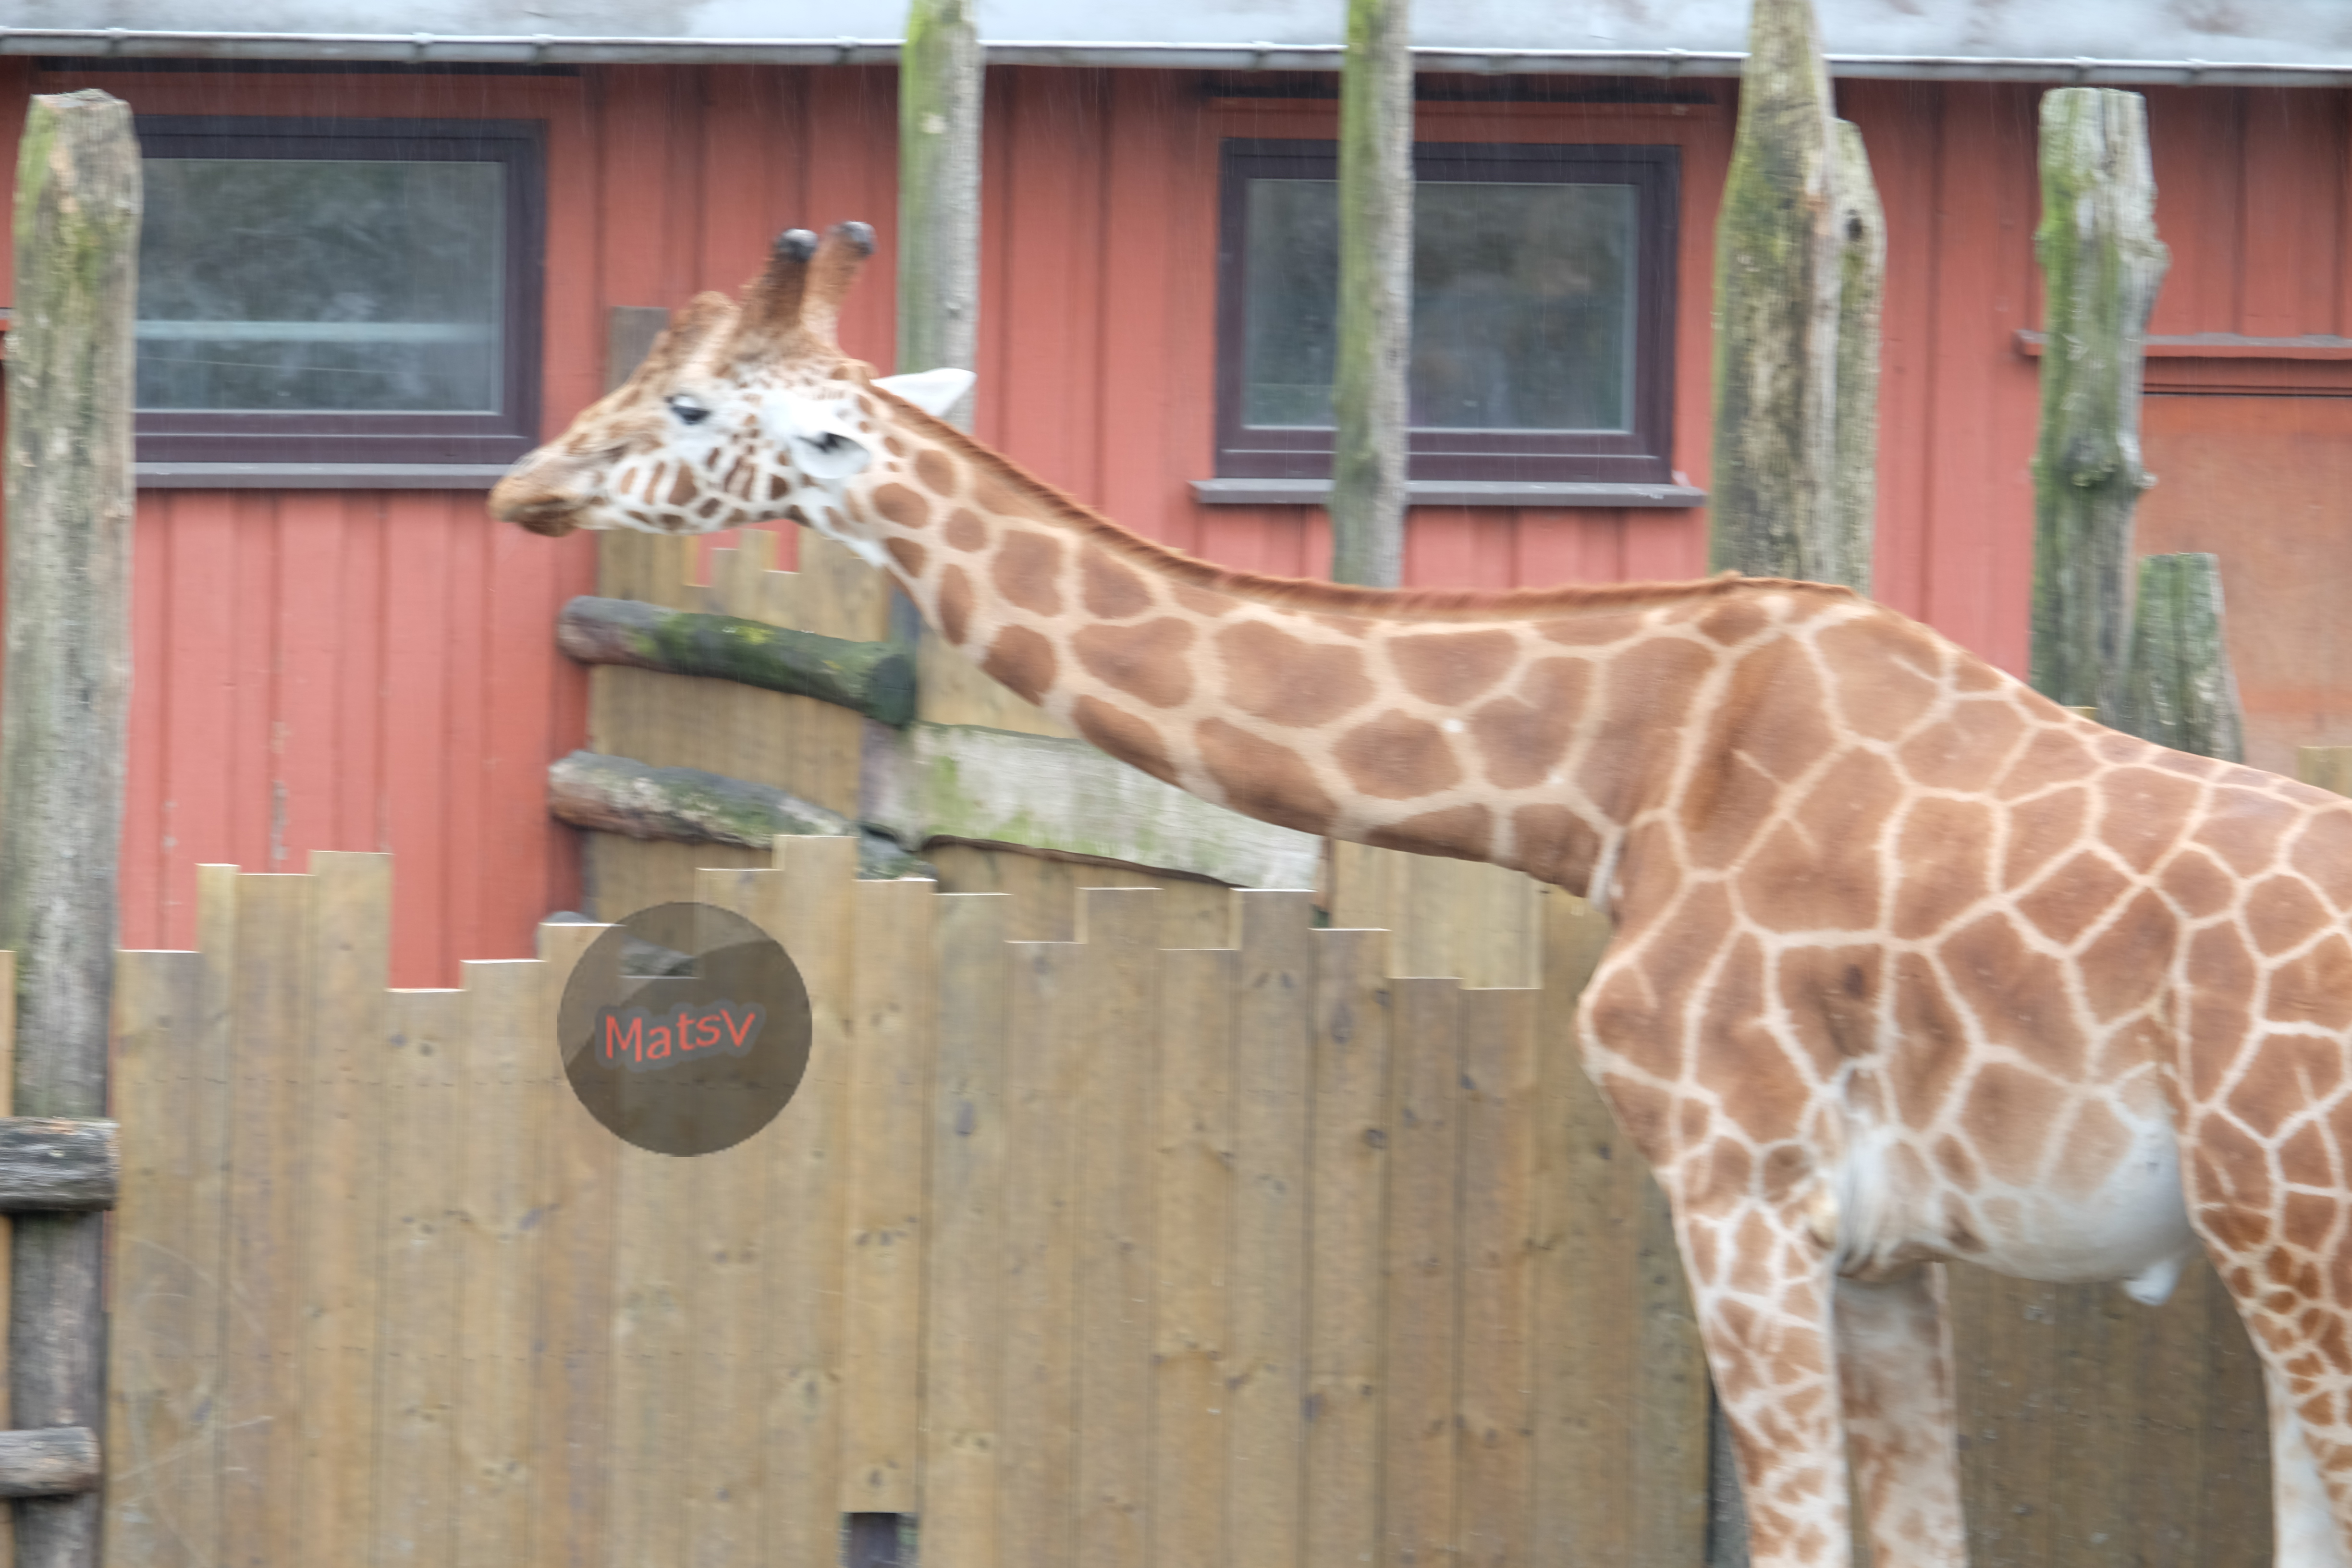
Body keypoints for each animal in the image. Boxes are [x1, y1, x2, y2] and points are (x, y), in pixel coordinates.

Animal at [492, 223, 2352, 1568]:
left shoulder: (1740, 1185)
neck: (1617, 775)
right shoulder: (1887, 1244)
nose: (526, 485)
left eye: (686, 411)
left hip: (2297, 1242)